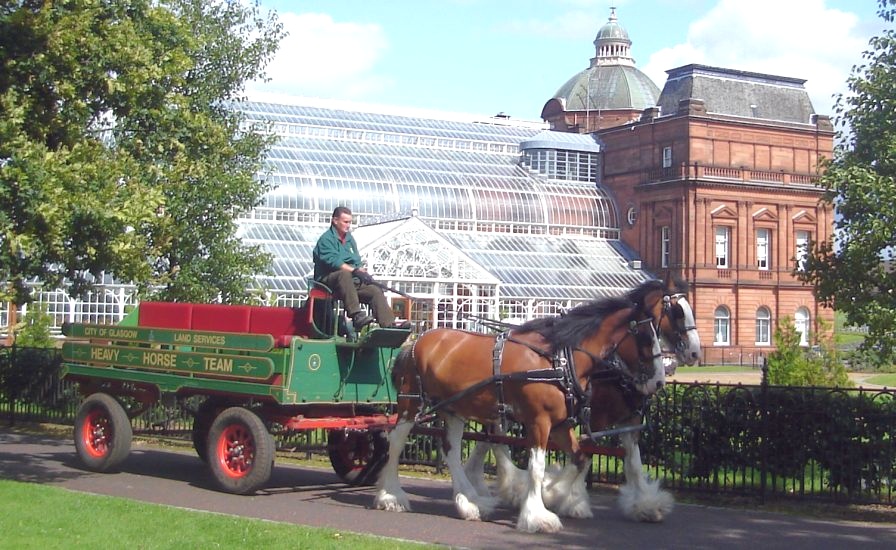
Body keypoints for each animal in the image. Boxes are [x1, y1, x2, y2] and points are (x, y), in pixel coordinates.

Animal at [372, 298, 664, 536]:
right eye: (645, 337)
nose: (659, 381)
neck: (559, 360)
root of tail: (415, 341)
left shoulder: (560, 425)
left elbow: (580, 458)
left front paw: (554, 494)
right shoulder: (538, 422)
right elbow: (537, 468)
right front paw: (537, 514)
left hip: (454, 409)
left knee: (450, 450)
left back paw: (470, 502)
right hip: (412, 404)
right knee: (396, 441)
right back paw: (391, 496)